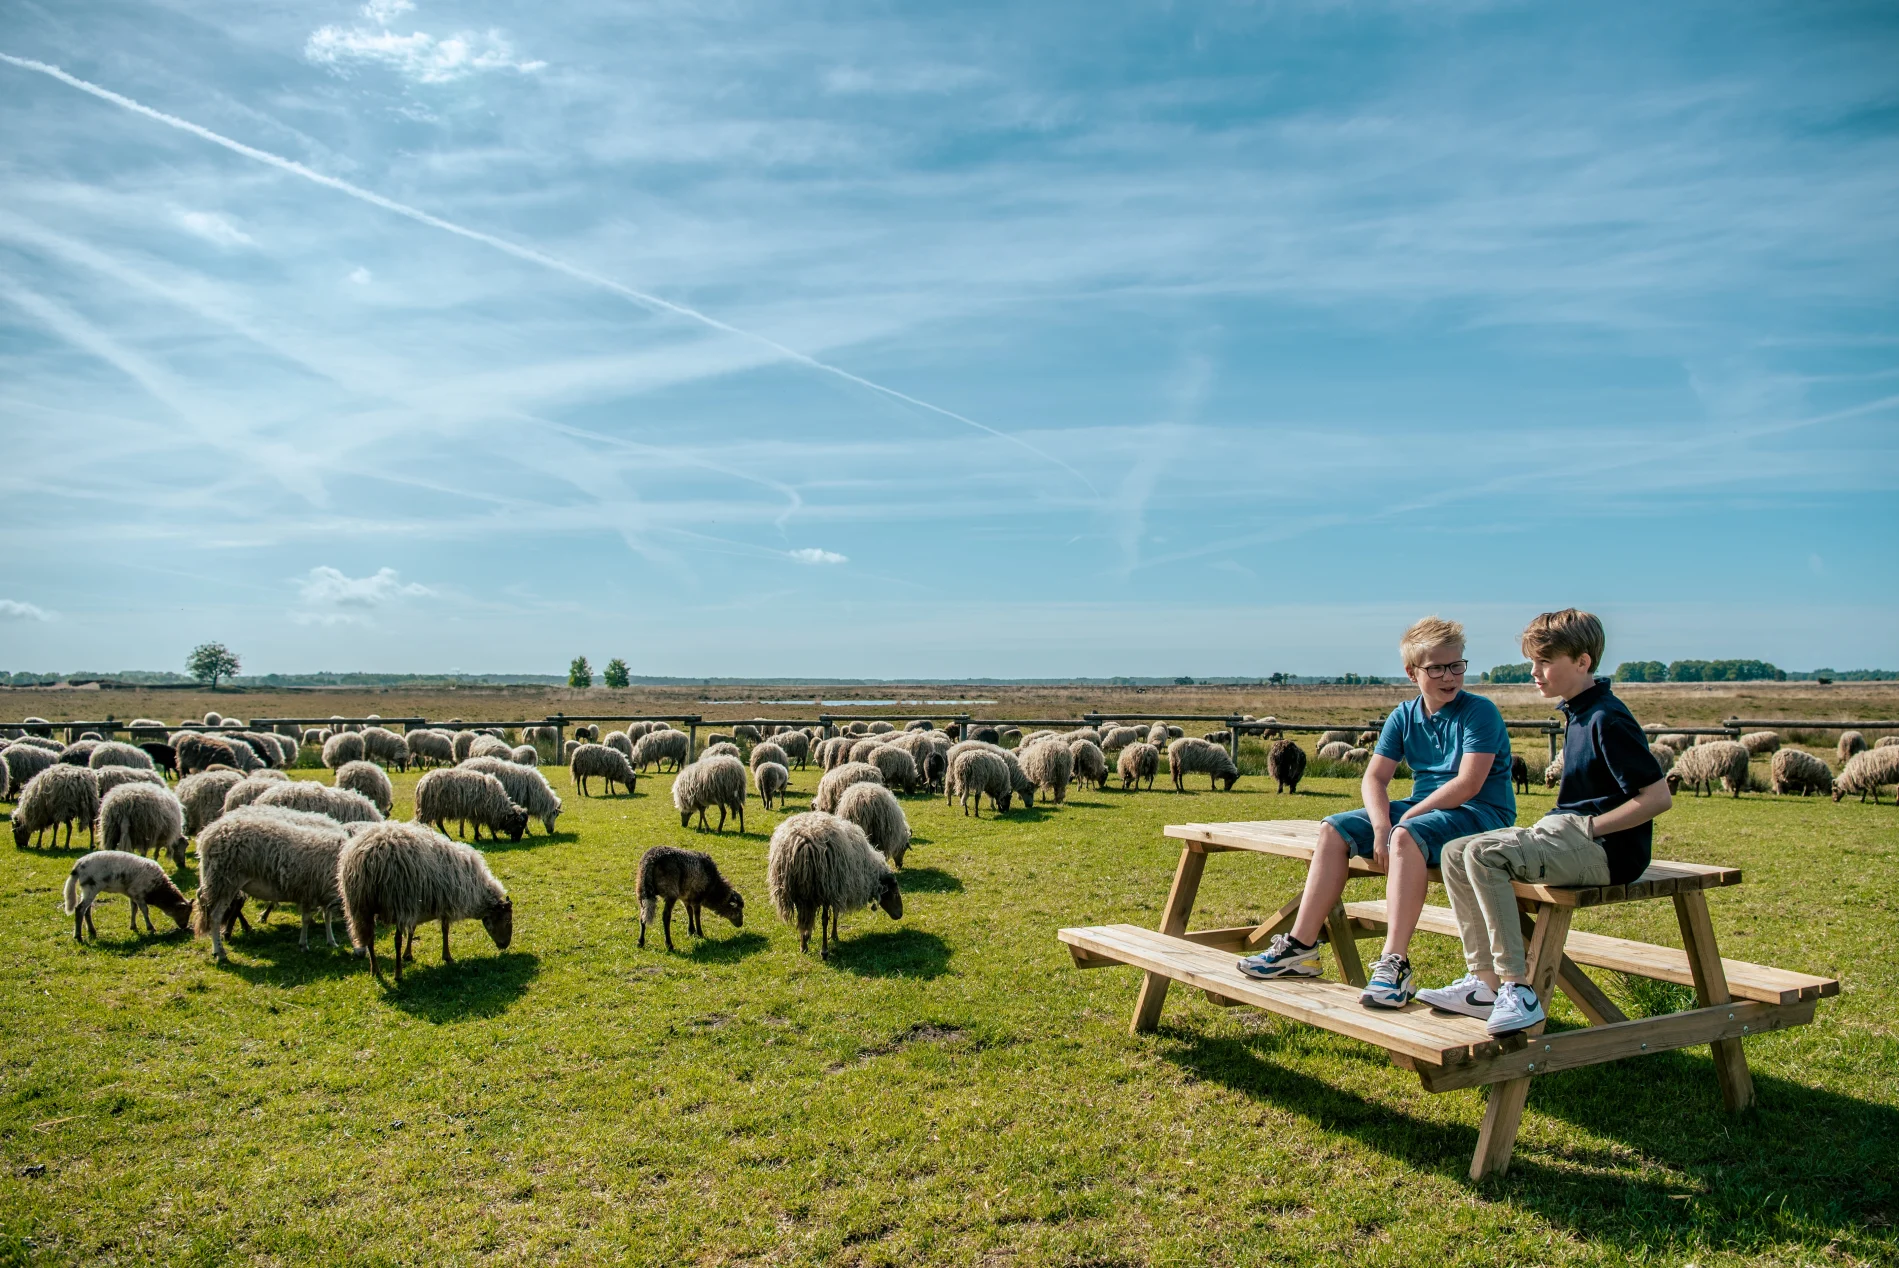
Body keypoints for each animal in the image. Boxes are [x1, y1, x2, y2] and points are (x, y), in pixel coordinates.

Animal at [194, 808, 355, 956]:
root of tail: (208, 834)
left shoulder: (322, 892)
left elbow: (327, 917)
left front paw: (331, 941)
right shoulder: (309, 892)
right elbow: (306, 919)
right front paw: (304, 944)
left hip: (215, 881)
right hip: (225, 883)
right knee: (215, 916)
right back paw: (219, 952)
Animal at [338, 816, 508, 987]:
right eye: (507, 920)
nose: (505, 945)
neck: (476, 888)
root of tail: (368, 857)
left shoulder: (417, 905)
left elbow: (413, 930)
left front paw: (408, 954)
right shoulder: (442, 904)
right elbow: (445, 929)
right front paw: (447, 957)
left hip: (360, 907)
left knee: (370, 938)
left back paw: (375, 970)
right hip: (396, 901)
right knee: (396, 940)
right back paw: (398, 973)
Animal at [763, 816, 903, 956]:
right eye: (895, 893)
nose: (900, 914)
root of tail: (804, 845)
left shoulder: (837, 889)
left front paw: (809, 936)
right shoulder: (838, 888)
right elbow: (834, 914)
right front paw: (834, 935)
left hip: (797, 891)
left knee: (802, 917)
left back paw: (803, 945)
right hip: (825, 887)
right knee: (824, 919)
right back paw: (824, 950)